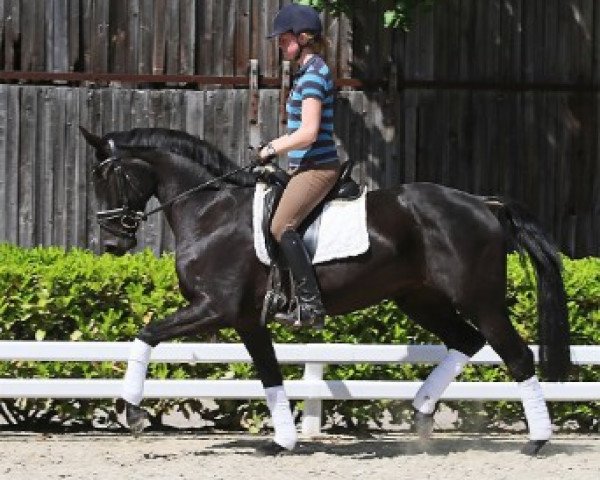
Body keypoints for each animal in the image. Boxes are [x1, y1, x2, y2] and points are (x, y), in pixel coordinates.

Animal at [81, 125, 572, 456]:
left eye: (108, 176)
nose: (113, 243)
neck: (209, 211)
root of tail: (482, 204)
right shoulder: (246, 320)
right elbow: (270, 375)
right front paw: (283, 441)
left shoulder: (213, 308)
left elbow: (146, 334)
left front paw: (132, 411)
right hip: (418, 298)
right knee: (465, 341)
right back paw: (421, 413)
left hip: (479, 300)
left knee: (516, 355)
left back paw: (537, 441)